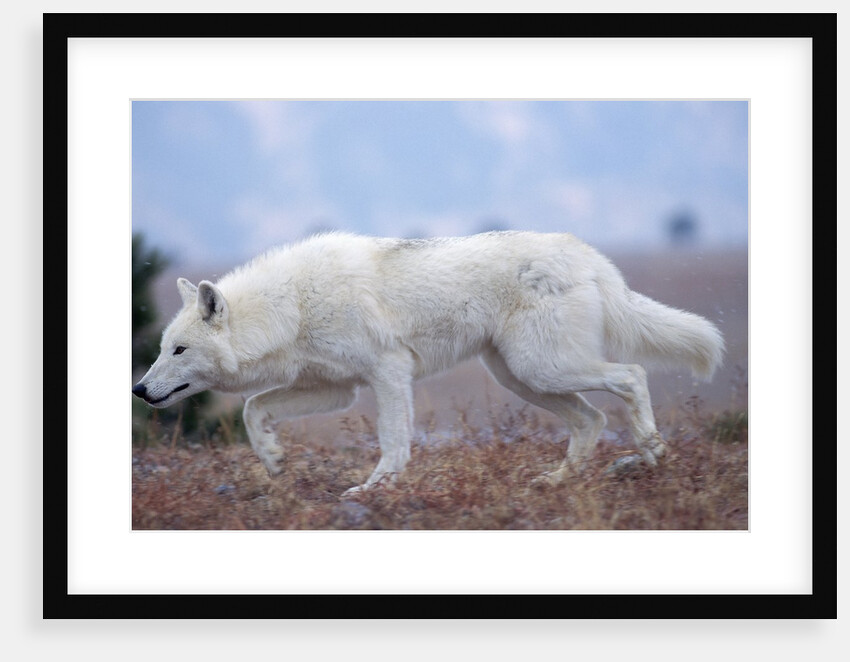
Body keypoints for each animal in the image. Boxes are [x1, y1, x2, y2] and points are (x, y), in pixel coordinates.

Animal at [132, 231, 724, 494]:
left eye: (179, 350)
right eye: (161, 349)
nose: (138, 390)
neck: (291, 306)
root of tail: (591, 256)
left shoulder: (389, 373)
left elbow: (393, 439)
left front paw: (375, 490)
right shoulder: (336, 388)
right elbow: (254, 410)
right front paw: (275, 462)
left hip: (543, 369)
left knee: (632, 377)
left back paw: (651, 455)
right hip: (522, 378)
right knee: (592, 419)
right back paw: (556, 482)